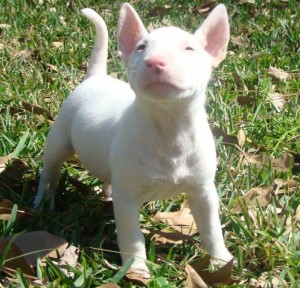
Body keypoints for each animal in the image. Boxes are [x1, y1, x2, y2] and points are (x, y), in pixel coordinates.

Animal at [34, 2, 232, 276]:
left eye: (189, 48)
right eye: (141, 48)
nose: (156, 62)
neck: (168, 128)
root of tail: (96, 77)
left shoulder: (203, 192)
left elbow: (212, 229)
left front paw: (222, 262)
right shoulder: (127, 199)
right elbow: (131, 236)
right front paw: (137, 269)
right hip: (59, 140)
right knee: (50, 171)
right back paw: (42, 201)